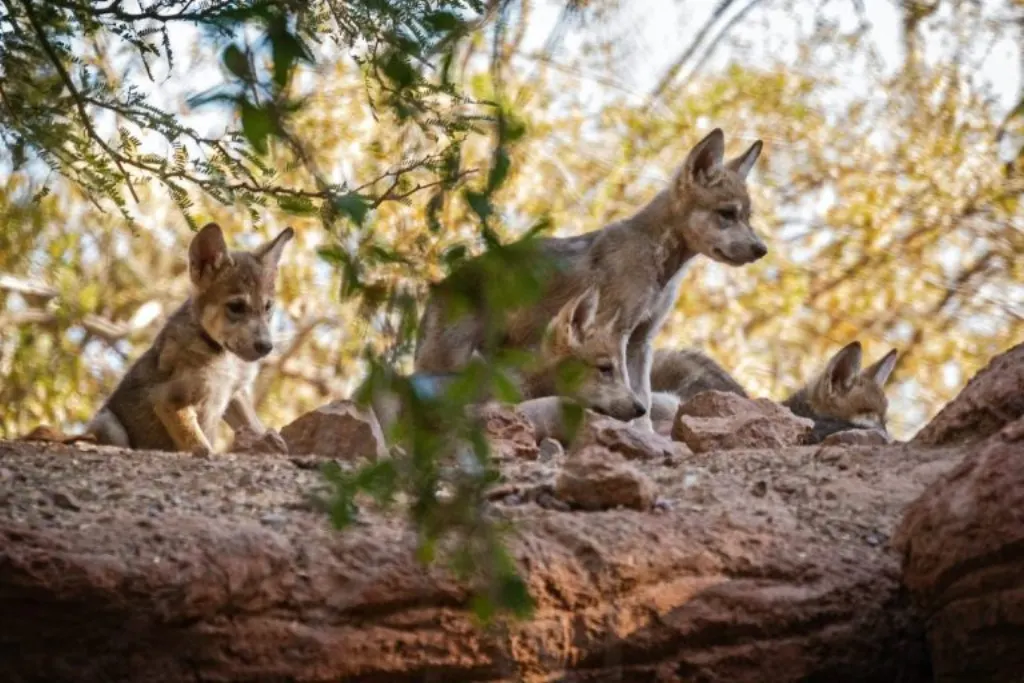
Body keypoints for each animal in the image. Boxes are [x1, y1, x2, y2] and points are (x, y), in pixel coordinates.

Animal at [85, 222, 294, 456]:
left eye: (268, 307)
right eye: (236, 307)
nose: (266, 347)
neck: (225, 360)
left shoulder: (234, 394)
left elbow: (254, 425)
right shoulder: (170, 400)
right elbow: (201, 447)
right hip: (107, 424)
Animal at [414, 128, 767, 431]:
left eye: (748, 216)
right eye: (727, 213)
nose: (761, 249)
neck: (658, 267)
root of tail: (436, 290)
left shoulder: (642, 339)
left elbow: (644, 403)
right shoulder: (618, 331)